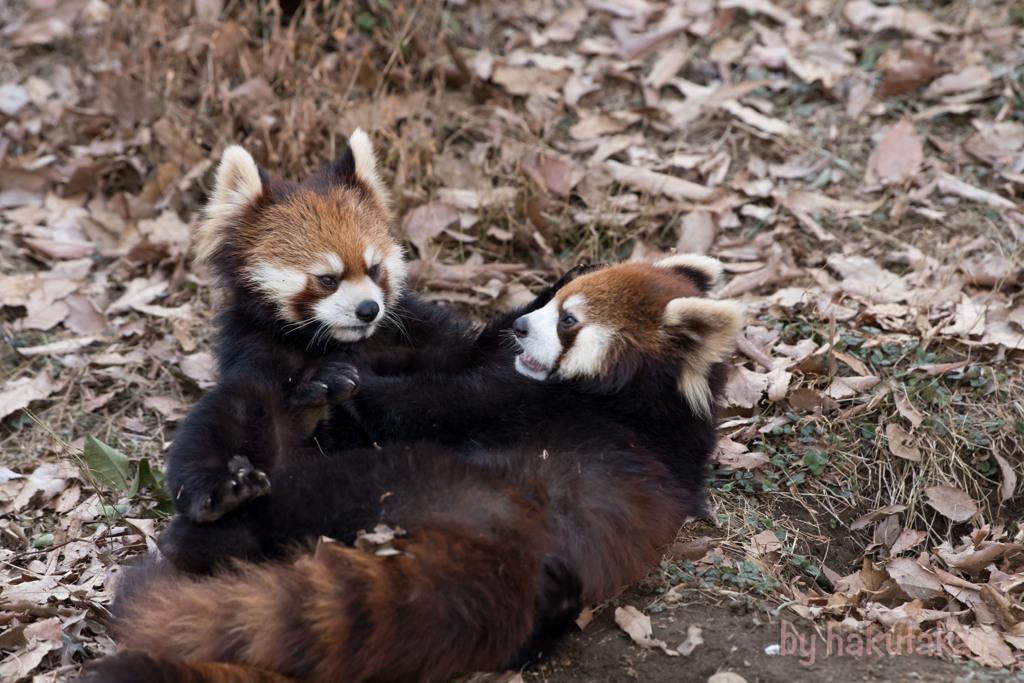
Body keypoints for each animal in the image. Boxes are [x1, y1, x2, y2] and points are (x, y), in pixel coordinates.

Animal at [88, 258, 741, 683]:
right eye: (557, 307)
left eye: (570, 321)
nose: (523, 328)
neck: (649, 403)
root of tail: (508, 549)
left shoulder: (532, 404)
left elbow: (422, 403)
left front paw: (350, 379)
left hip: (414, 479)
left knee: (302, 491)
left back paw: (202, 528)